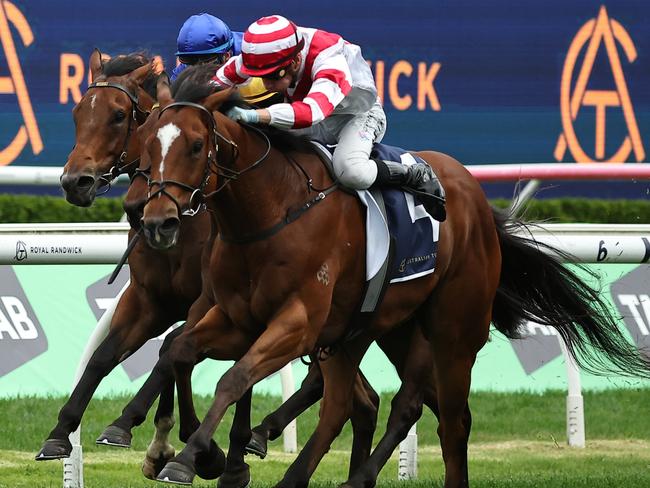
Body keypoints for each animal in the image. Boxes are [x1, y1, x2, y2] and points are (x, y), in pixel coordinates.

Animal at [139, 66, 648, 488]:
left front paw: (189, 458)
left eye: (196, 146)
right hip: (373, 330)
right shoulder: (239, 318)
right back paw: (309, 476)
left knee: (447, 418)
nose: (158, 222)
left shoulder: (297, 323)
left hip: (452, 329)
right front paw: (201, 455)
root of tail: (475, 198)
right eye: (147, 145)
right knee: (348, 406)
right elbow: (181, 351)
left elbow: (233, 377)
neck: (270, 211)